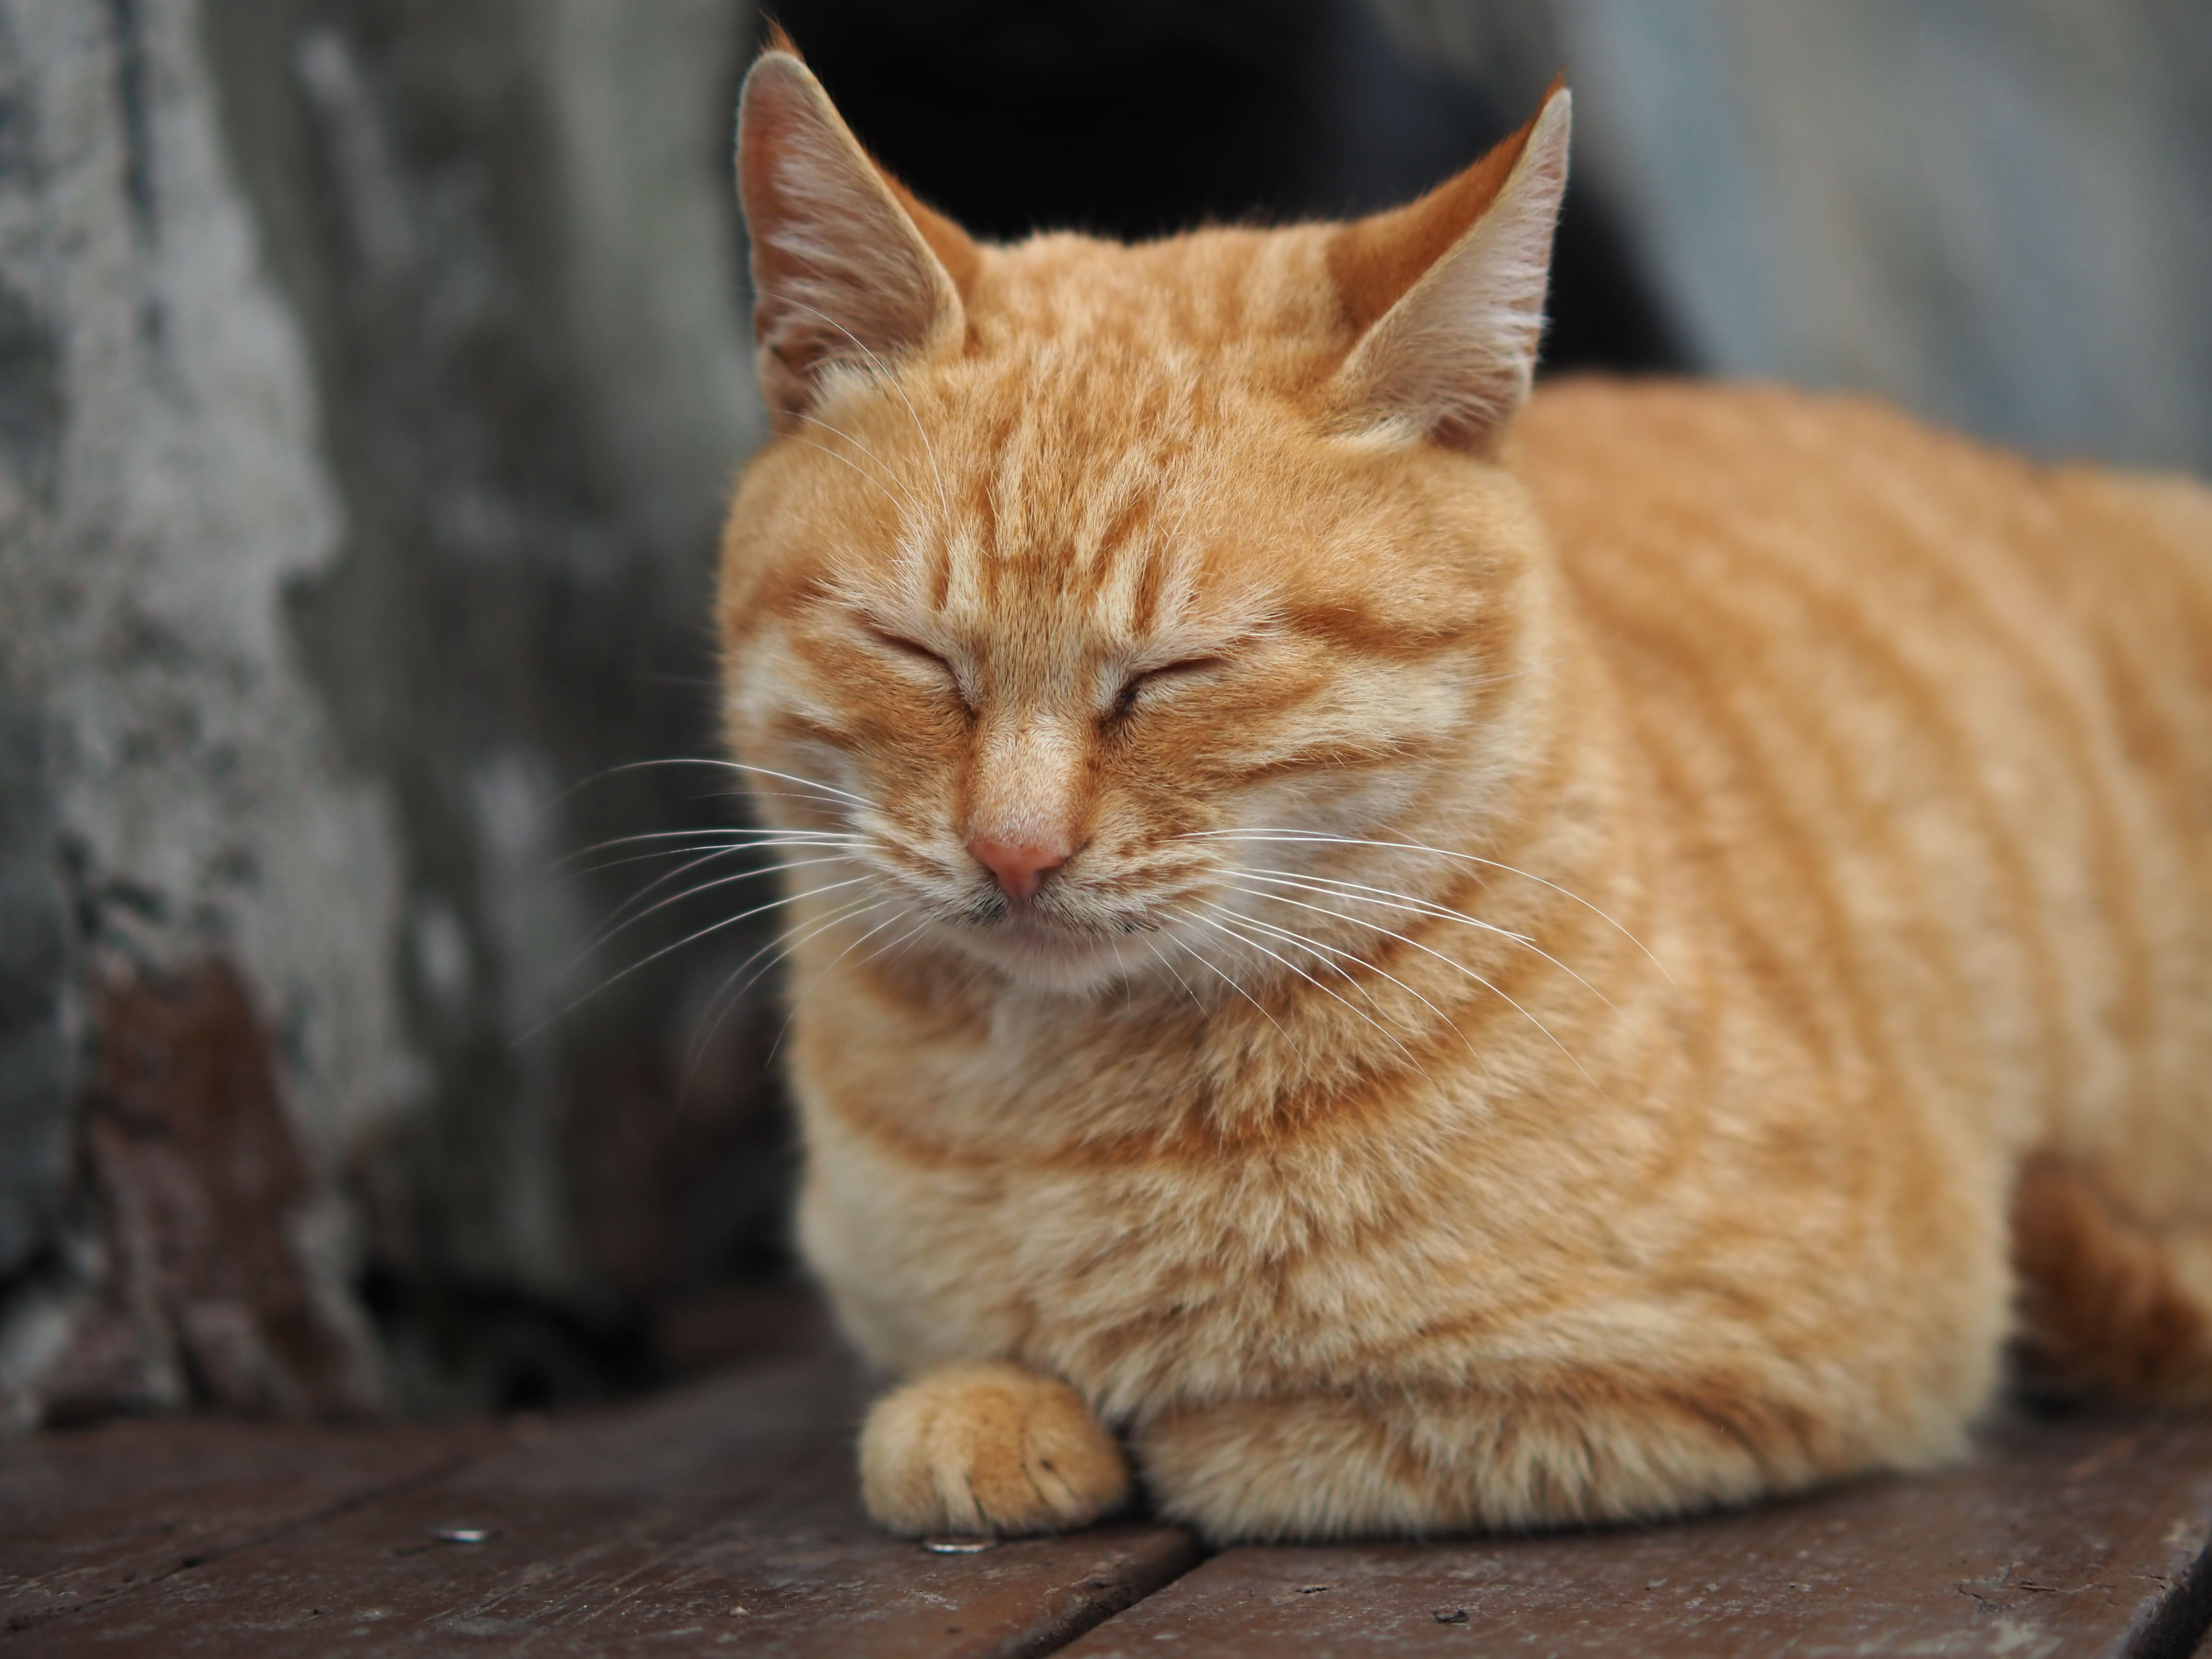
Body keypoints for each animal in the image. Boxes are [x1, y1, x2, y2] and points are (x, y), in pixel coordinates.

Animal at [716, 42, 2212, 1548]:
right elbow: (958, 1384)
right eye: (914, 651)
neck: (1054, 1132)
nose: (1014, 850)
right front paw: (991, 1410)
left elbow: (1258, 1435)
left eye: (1182, 670)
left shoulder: (1747, 1368)